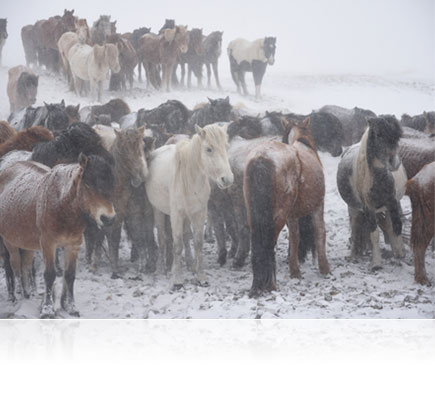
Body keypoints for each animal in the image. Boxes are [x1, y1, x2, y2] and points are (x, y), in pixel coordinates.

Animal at [0, 153, 116, 316]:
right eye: (88, 185)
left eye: (112, 185)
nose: (108, 219)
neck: (61, 205)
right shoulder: (48, 244)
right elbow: (49, 275)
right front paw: (47, 309)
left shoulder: (73, 245)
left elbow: (70, 275)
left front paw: (70, 306)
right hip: (10, 242)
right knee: (15, 265)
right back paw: (16, 294)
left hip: (27, 243)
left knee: (26, 265)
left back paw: (28, 293)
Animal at [146, 123, 235, 286]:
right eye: (209, 149)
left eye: (226, 146)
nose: (227, 179)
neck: (189, 177)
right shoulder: (176, 214)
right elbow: (177, 244)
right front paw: (177, 279)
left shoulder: (199, 212)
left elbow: (198, 243)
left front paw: (201, 275)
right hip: (158, 210)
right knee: (162, 238)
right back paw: (161, 268)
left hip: (188, 215)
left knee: (187, 237)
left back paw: (190, 264)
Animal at [245, 117, 330, 296]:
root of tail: (262, 158)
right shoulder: (318, 206)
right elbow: (320, 232)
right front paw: (324, 268)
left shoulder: (292, 215)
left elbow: (294, 237)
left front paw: (294, 270)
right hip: (278, 216)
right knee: (269, 244)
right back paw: (269, 284)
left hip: (254, 214)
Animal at [338, 115, 408, 268]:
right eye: (379, 135)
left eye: (398, 136)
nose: (394, 163)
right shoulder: (368, 207)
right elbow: (374, 233)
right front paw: (376, 263)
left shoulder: (392, 202)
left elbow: (396, 227)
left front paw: (400, 253)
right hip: (353, 208)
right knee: (355, 228)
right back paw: (353, 255)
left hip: (385, 208)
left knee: (388, 226)